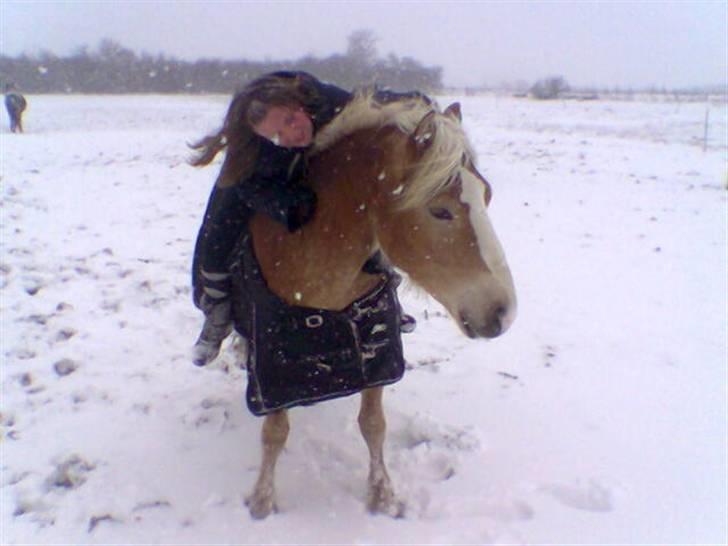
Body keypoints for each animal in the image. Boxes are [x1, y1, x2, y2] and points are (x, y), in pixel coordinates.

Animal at [236, 92, 516, 520]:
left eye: (487, 196)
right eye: (440, 209)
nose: (503, 313)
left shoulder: (377, 351)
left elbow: (373, 423)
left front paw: (382, 495)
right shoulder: (272, 369)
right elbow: (275, 432)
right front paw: (262, 502)